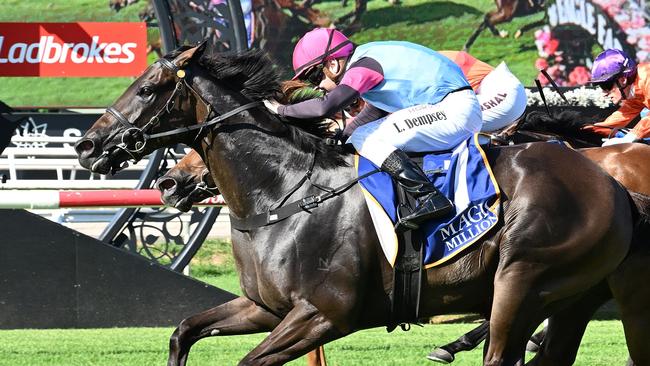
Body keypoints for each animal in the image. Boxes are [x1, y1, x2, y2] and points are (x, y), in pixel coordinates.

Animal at [74, 46, 632, 366]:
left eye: (148, 89)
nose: (87, 145)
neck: (283, 194)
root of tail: (614, 186)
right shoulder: (264, 308)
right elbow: (183, 332)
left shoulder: (322, 315)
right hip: (569, 296)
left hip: (521, 283)